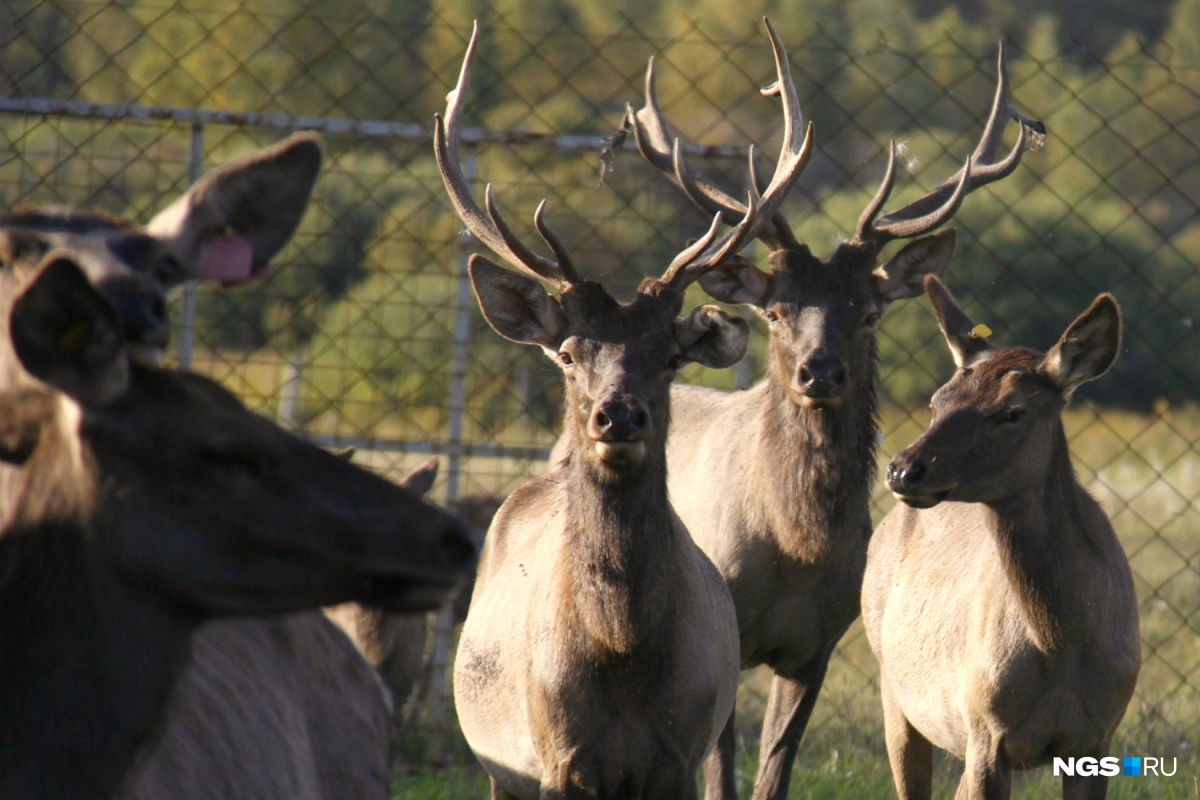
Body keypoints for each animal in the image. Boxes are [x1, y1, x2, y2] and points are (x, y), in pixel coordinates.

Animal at [436, 21, 772, 796]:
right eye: (567, 353)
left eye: (671, 354)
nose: (618, 416)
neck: (621, 648)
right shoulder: (556, 757)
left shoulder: (682, 753)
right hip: (498, 763)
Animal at [624, 20, 1036, 800]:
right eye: (777, 310)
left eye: (870, 311)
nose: (822, 370)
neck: (795, 547)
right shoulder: (722, 634)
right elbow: (722, 774)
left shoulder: (819, 643)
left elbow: (775, 770)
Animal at [864, 277, 1132, 800]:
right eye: (937, 402)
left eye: (1012, 412)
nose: (903, 469)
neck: (1062, 643)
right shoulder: (985, 728)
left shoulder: (1099, 734)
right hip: (895, 687)